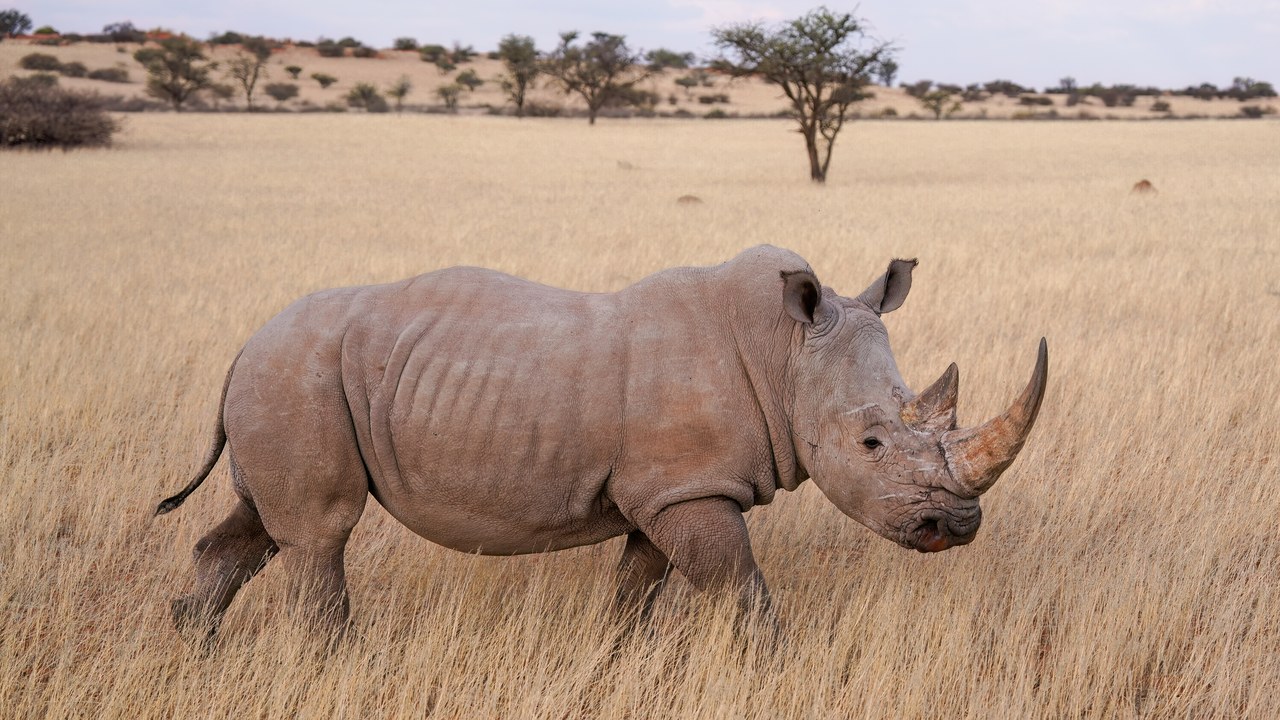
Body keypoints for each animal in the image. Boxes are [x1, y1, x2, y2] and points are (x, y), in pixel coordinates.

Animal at [156, 245, 1047, 637]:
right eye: (870, 443)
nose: (954, 528)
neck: (786, 353)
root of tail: (245, 343)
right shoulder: (690, 489)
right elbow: (747, 598)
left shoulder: (670, 489)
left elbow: (636, 594)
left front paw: (619, 659)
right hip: (295, 376)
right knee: (318, 532)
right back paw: (334, 657)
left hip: (285, 381)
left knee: (258, 526)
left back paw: (192, 642)